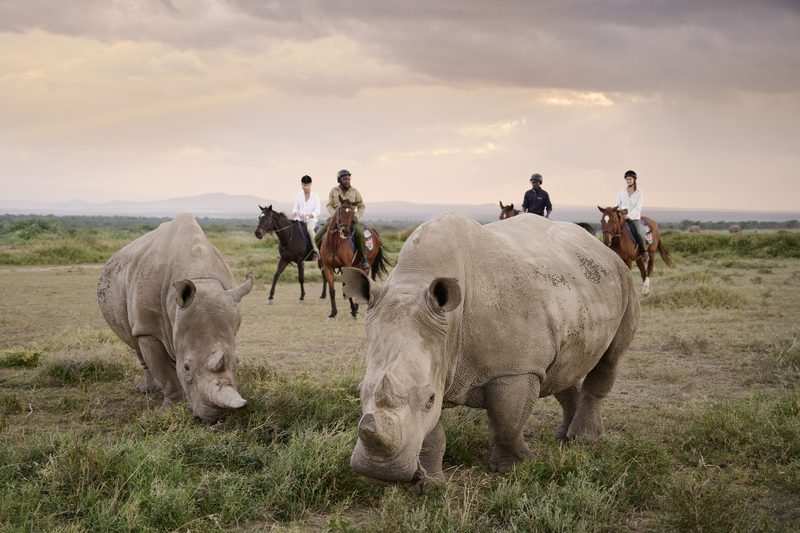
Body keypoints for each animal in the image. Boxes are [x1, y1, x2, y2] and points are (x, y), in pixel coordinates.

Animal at [97, 214, 253, 422]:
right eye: (186, 367)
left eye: (237, 363)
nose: (214, 417)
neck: (200, 277)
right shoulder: (149, 329)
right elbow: (165, 373)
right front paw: (170, 410)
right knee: (136, 343)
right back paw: (147, 391)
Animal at [343, 213, 639, 482]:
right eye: (359, 390)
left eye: (429, 399)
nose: (380, 471)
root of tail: (601, 247)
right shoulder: (437, 359)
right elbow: (432, 434)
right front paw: (429, 483)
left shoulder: (516, 368)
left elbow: (507, 421)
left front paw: (515, 467)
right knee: (563, 370)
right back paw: (564, 438)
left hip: (623, 278)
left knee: (610, 359)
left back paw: (582, 440)